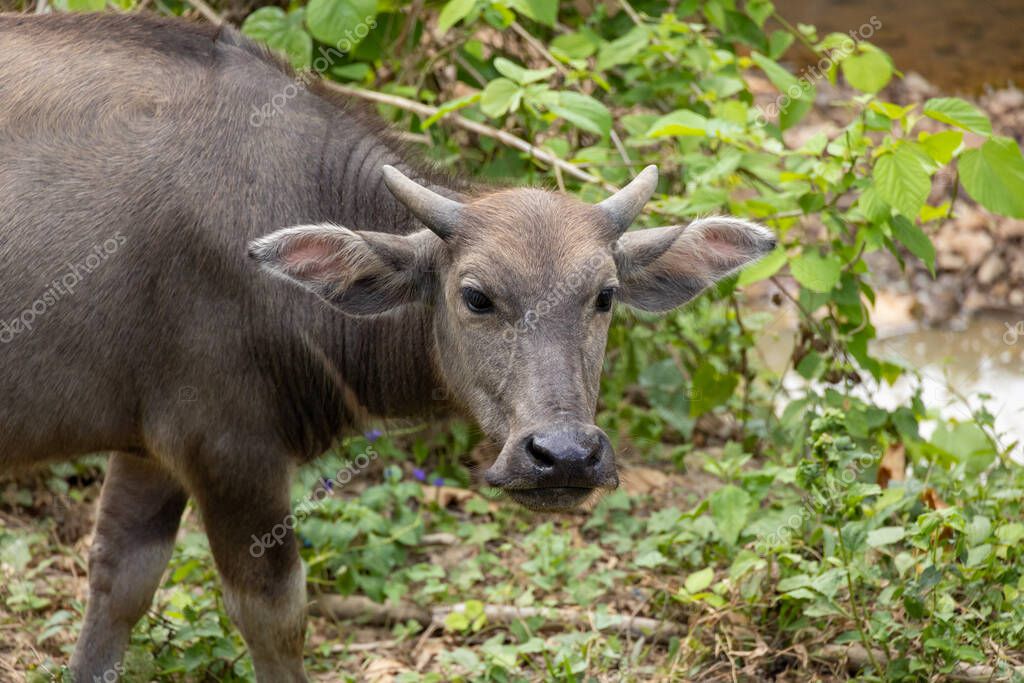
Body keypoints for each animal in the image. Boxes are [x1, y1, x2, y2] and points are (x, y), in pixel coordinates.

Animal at [0, 12, 770, 683]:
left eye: (604, 295)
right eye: (475, 295)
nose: (564, 456)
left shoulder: (149, 449)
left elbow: (118, 585)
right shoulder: (227, 446)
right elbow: (275, 616)